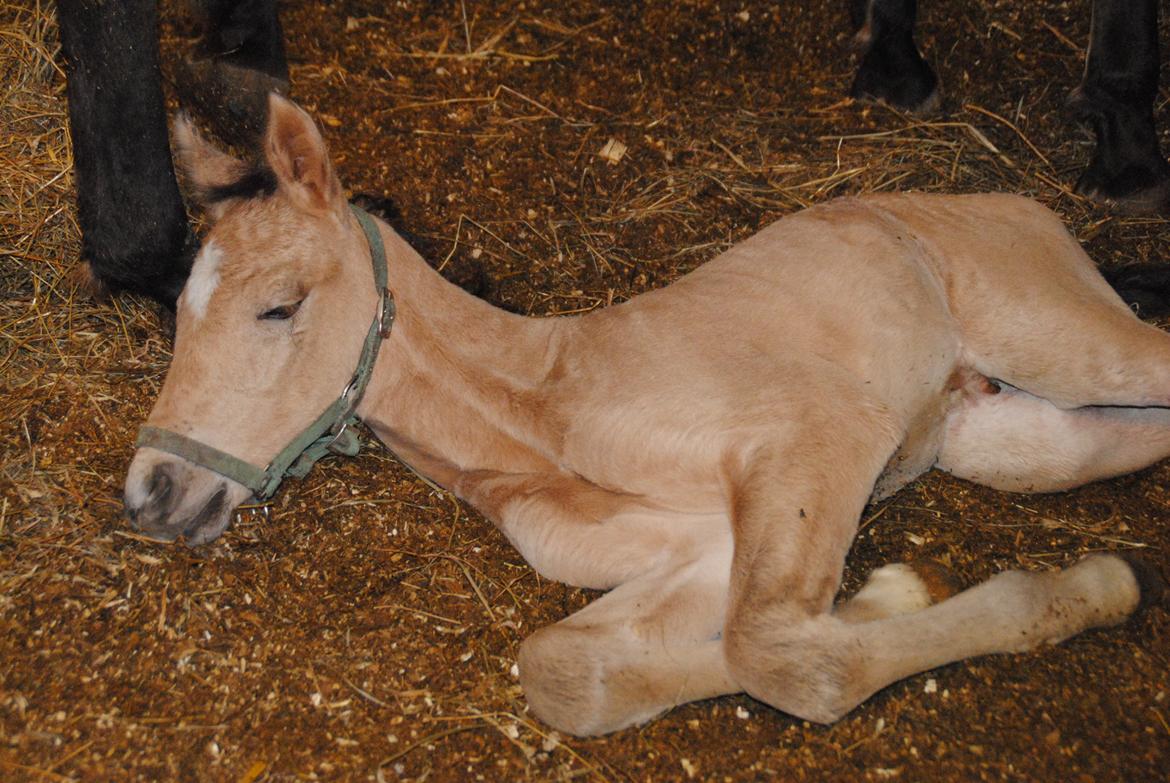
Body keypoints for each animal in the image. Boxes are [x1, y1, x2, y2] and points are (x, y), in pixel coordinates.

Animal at [123, 94, 1165, 735]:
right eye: (179, 312)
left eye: (279, 306)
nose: (151, 491)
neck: (543, 413)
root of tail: (1019, 202)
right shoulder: (705, 546)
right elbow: (572, 666)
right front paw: (908, 591)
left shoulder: (823, 430)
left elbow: (783, 656)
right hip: (1006, 435)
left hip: (1060, 340)